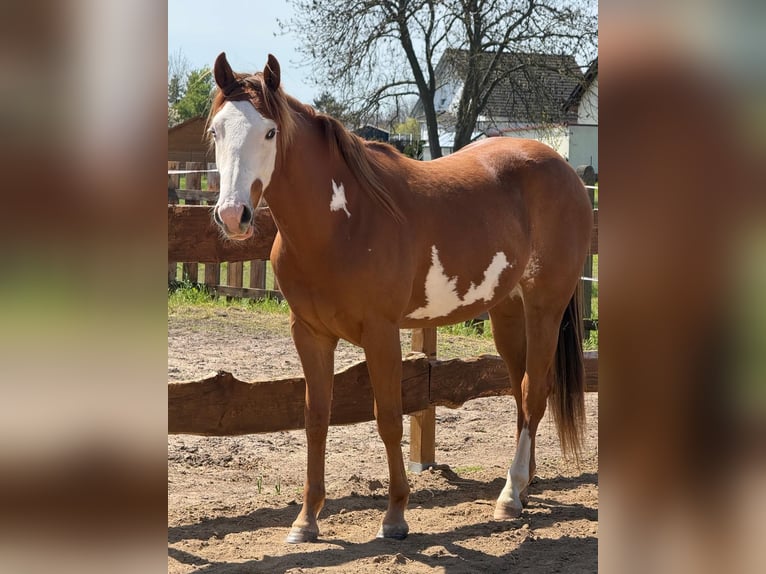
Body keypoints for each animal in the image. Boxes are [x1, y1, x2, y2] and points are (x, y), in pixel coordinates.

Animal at [207, 52, 593, 543]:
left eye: (270, 132)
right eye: (216, 131)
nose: (232, 215)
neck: (342, 222)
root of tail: (564, 170)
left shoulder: (381, 333)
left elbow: (389, 418)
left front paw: (394, 516)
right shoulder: (309, 334)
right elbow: (315, 419)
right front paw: (306, 520)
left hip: (545, 305)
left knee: (535, 391)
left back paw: (509, 495)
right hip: (508, 310)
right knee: (521, 391)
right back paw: (522, 486)